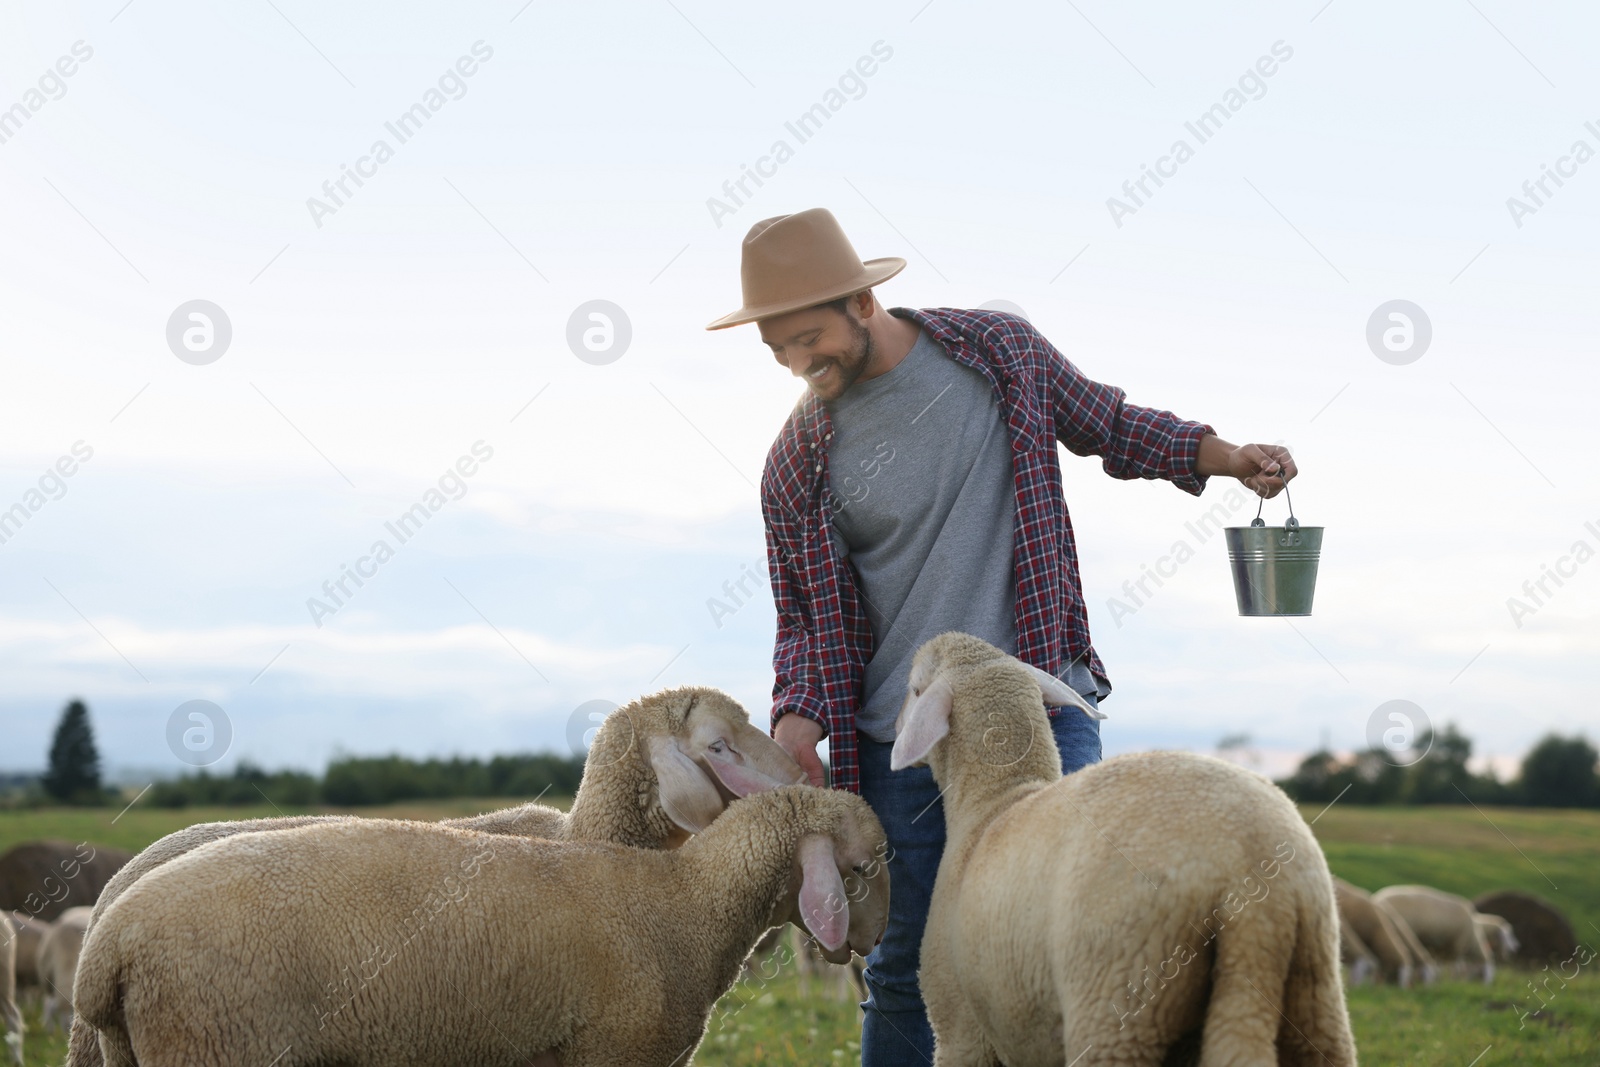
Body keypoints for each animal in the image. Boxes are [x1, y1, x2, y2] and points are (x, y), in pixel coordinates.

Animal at [75, 783, 889, 1067]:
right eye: (864, 864)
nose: (876, 942)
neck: (686, 903)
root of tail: (106, 946)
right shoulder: (614, 1052)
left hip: (135, 1051)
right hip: (217, 1042)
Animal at [889, 633, 1350, 1067]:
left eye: (913, 688)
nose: (891, 729)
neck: (993, 802)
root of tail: (1254, 871)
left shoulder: (962, 1032)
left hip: (1121, 991)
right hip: (1316, 996)